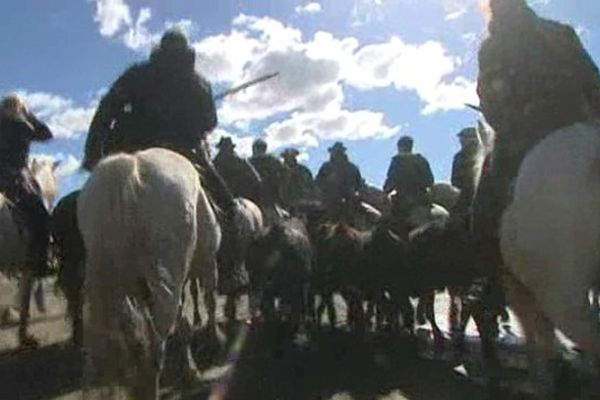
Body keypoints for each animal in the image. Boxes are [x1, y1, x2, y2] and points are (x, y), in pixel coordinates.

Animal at [78, 148, 220, 398]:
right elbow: (209, 302)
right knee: (154, 350)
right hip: (169, 282)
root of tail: (127, 171)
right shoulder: (206, 263)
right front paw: (212, 344)